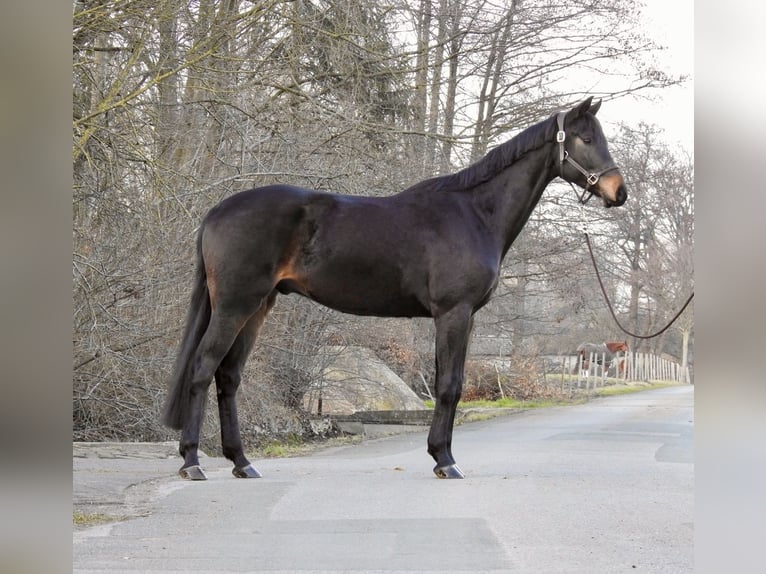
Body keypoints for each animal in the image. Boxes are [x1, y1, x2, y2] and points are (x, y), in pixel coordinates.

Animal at [162, 97, 627, 480]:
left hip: (259, 307)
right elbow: (450, 385)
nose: (618, 192)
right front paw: (445, 461)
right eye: (586, 139)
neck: (474, 213)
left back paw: (242, 462)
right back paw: (192, 462)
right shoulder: (454, 313)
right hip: (235, 305)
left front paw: (440, 454)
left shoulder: (459, 318)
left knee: (229, 376)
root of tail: (217, 211)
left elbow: (447, 382)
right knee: (203, 369)